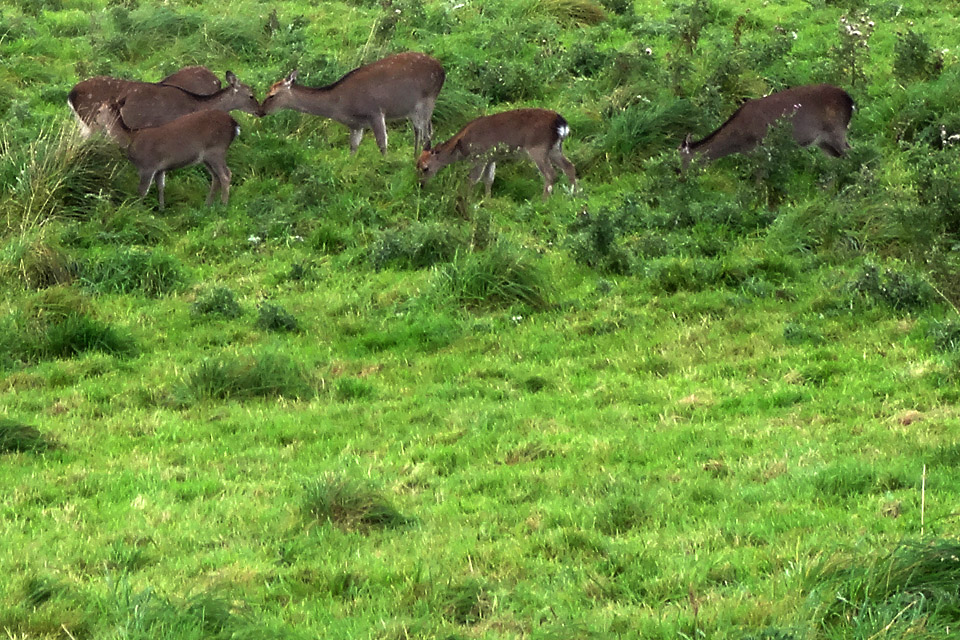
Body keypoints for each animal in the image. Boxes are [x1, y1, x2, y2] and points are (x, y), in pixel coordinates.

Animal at [94, 100, 240, 210]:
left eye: (99, 110)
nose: (95, 120)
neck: (131, 139)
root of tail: (235, 125)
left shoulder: (148, 165)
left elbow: (142, 191)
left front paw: (137, 210)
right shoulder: (160, 168)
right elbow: (160, 187)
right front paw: (161, 209)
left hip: (217, 150)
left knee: (226, 175)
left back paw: (223, 205)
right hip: (206, 157)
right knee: (216, 177)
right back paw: (207, 205)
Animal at [258, 52, 446, 156]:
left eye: (271, 95)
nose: (261, 111)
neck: (340, 105)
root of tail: (442, 69)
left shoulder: (374, 111)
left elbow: (382, 144)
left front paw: (385, 164)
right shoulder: (356, 124)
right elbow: (353, 147)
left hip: (427, 100)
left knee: (426, 132)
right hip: (414, 109)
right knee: (421, 130)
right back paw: (416, 156)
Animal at [414, 107, 576, 199]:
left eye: (425, 168)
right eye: (417, 166)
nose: (421, 185)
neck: (462, 146)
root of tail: (562, 124)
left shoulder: (480, 156)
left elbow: (473, 179)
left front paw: (467, 199)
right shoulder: (491, 158)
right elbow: (489, 179)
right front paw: (487, 200)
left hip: (538, 147)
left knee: (551, 174)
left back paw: (544, 201)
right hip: (554, 149)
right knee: (569, 166)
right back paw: (574, 195)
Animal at [676, 84, 856, 171]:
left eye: (682, 160)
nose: (681, 177)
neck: (739, 142)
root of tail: (850, 101)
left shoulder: (762, 147)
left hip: (836, 130)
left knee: (851, 154)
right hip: (823, 142)